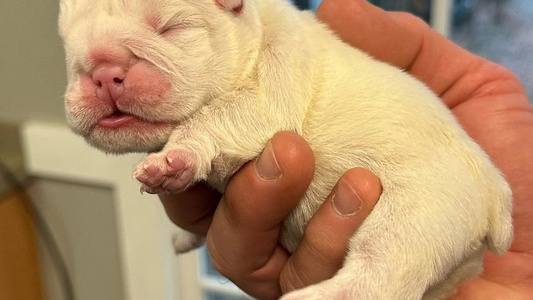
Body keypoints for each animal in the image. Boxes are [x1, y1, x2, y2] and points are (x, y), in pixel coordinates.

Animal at [58, 0, 512, 298]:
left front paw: (174, 158)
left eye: (171, 28)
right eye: (68, 48)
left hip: (418, 216)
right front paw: (187, 234)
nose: (100, 71)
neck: (256, 30)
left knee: (381, 276)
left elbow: (215, 117)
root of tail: (495, 194)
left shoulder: (270, 90)